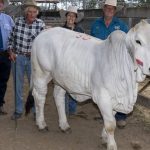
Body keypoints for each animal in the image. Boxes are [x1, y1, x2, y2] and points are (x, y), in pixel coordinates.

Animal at [28, 20, 150, 150]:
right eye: (138, 41)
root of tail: (45, 31)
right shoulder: (103, 97)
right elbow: (110, 124)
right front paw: (111, 145)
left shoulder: (115, 100)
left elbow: (110, 120)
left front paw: (105, 138)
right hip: (41, 73)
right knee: (39, 97)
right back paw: (41, 124)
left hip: (60, 79)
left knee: (58, 97)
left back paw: (64, 125)